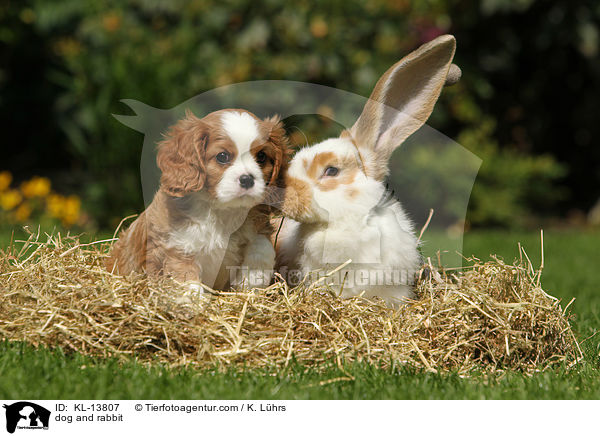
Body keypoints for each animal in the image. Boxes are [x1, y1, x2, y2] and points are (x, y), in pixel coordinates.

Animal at [106, 109, 290, 292]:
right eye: (222, 156)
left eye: (261, 156)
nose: (247, 179)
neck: (222, 210)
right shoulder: (178, 247)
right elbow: (188, 281)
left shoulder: (258, 226)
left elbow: (263, 246)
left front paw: (252, 279)